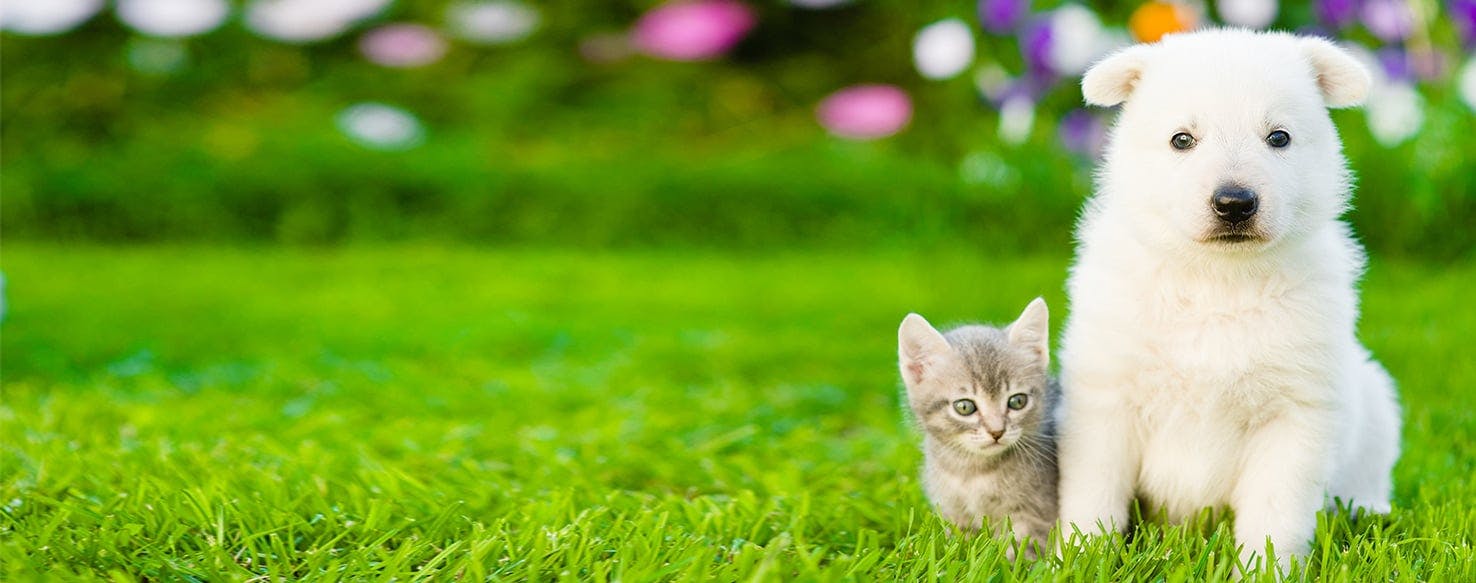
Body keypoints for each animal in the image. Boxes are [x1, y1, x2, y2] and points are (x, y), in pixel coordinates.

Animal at [891, 301, 1056, 557]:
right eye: (965, 407)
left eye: (1017, 401)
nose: (997, 431)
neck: (972, 472)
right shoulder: (953, 513)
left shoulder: (1036, 513)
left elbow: (1020, 550)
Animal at [1056, 28, 1399, 569]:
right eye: (1182, 139)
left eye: (1278, 137)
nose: (1234, 203)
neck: (1217, 280)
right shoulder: (1105, 400)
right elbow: (1093, 497)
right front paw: (1079, 559)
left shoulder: (1295, 413)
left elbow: (1274, 514)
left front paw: (1265, 569)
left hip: (1376, 402)